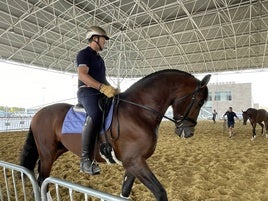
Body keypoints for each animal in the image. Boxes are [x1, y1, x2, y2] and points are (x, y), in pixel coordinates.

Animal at [19, 69, 211, 201]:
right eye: (199, 102)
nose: (188, 132)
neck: (139, 112)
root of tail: (38, 114)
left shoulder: (134, 162)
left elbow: (125, 191)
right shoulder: (134, 161)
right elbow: (160, 192)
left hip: (58, 150)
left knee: (42, 177)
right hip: (47, 152)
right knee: (42, 178)